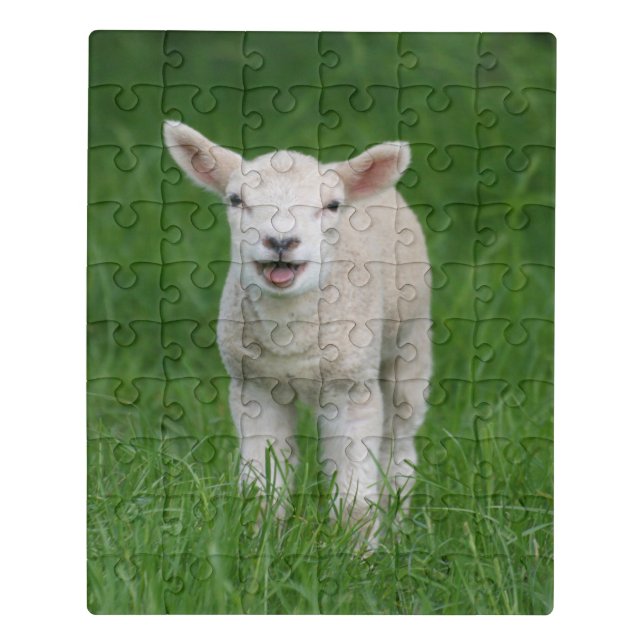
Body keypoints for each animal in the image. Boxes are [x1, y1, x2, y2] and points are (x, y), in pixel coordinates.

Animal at [164, 121, 431, 536]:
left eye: (332, 206)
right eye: (236, 200)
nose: (280, 241)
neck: (289, 333)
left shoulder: (352, 387)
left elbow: (355, 496)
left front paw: (355, 549)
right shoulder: (254, 387)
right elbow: (263, 487)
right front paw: (259, 540)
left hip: (411, 341)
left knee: (400, 445)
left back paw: (399, 524)